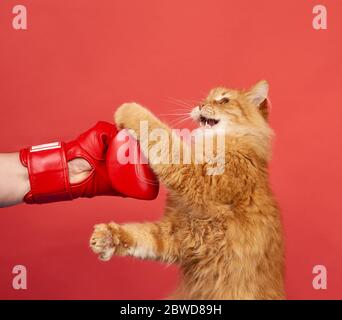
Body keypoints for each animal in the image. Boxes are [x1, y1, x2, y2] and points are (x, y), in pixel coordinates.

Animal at [89, 80, 284, 300]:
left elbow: (164, 137)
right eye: (206, 98)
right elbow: (142, 235)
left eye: (224, 100)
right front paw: (108, 238)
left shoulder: (199, 178)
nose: (200, 105)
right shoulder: (178, 233)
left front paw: (130, 109)